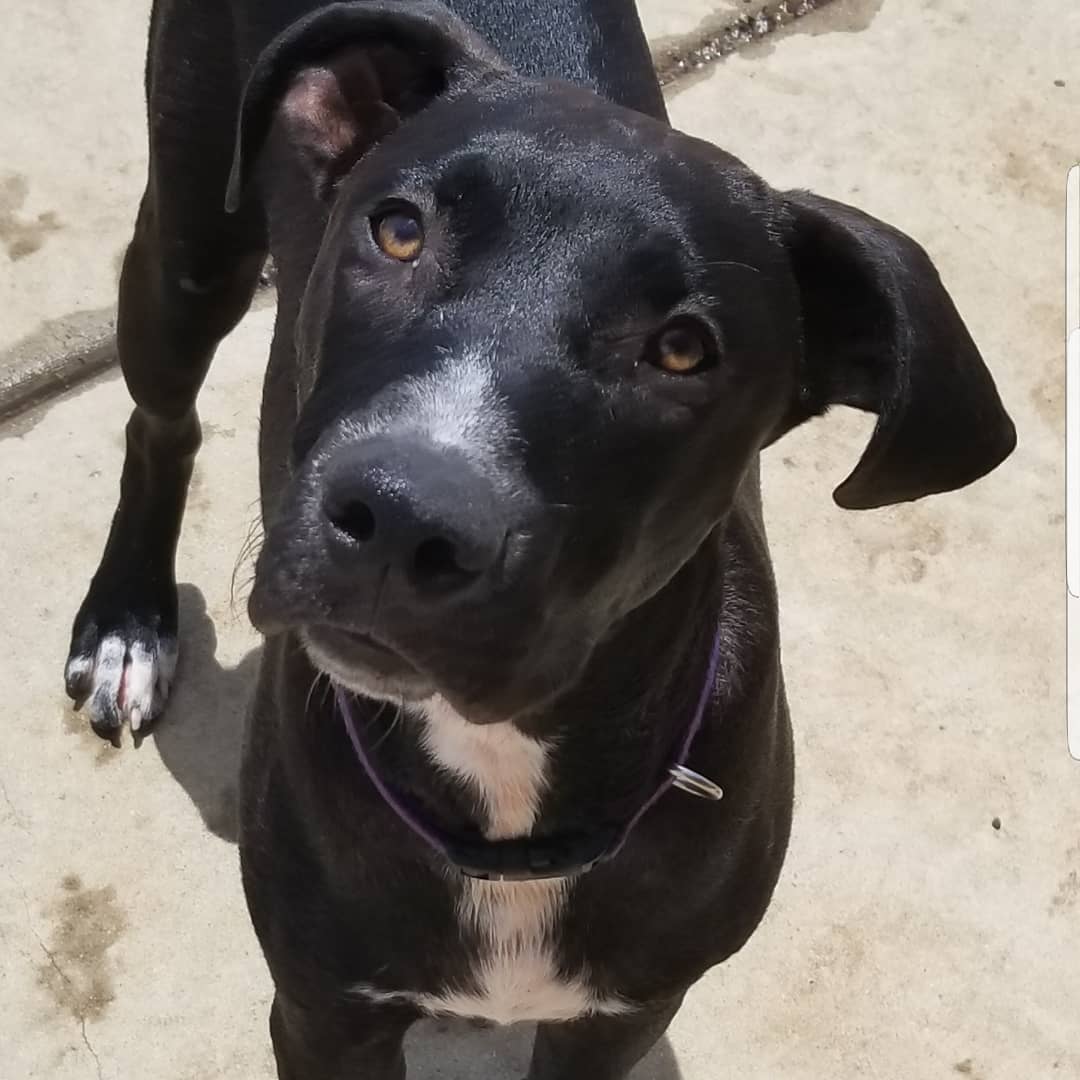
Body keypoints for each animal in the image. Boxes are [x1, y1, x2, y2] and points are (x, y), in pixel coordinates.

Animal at [65, 4, 1010, 1075]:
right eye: (399, 230)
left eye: (683, 349)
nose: (403, 518)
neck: (503, 791)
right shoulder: (321, 1014)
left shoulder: (622, 1019)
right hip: (191, 240)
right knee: (162, 421)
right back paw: (128, 627)